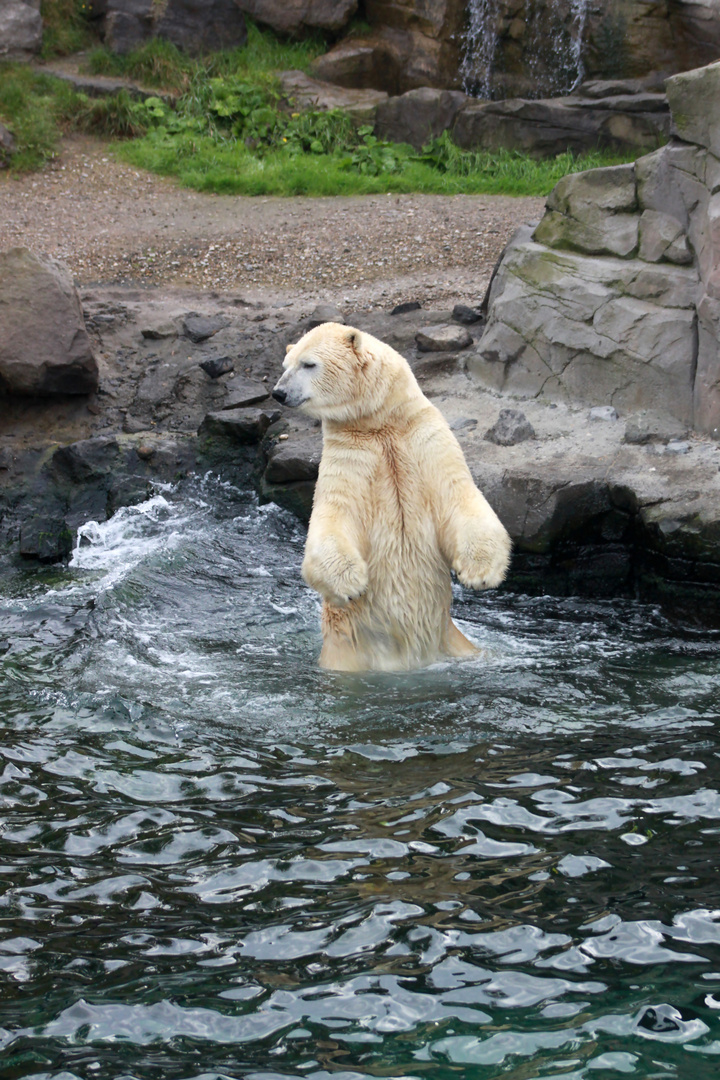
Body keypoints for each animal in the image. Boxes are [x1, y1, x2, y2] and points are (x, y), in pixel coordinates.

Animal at [272, 321, 511, 673]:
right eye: (286, 365)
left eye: (308, 364)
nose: (279, 392)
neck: (379, 424)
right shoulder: (350, 453)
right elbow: (334, 515)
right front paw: (352, 583)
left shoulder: (424, 436)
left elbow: (458, 494)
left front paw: (480, 573)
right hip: (346, 649)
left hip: (453, 641)